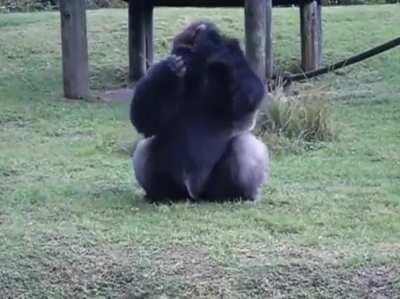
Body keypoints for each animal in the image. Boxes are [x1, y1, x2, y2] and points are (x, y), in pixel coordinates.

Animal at [130, 21, 270, 202]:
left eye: (186, 50)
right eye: (179, 50)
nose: (180, 56)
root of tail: (195, 193)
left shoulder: (234, 59)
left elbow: (247, 98)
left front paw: (213, 42)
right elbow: (145, 120)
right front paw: (169, 69)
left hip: (213, 190)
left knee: (244, 145)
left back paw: (239, 194)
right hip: (180, 188)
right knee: (146, 146)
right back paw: (160, 194)